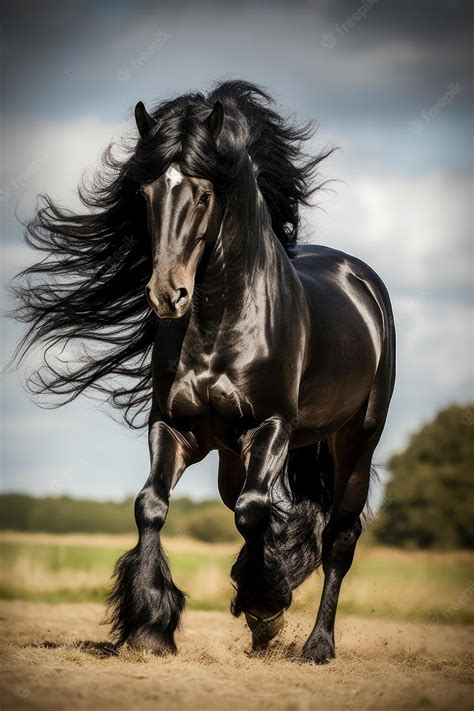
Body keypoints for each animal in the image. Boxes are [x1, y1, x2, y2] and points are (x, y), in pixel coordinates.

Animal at [14, 80, 394, 664]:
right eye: (146, 193)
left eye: (203, 195)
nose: (166, 294)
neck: (222, 324)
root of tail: (360, 278)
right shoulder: (175, 426)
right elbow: (152, 505)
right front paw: (151, 626)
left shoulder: (272, 426)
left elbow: (255, 511)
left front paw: (264, 604)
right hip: (235, 454)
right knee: (255, 506)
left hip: (356, 439)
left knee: (338, 538)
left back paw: (316, 645)